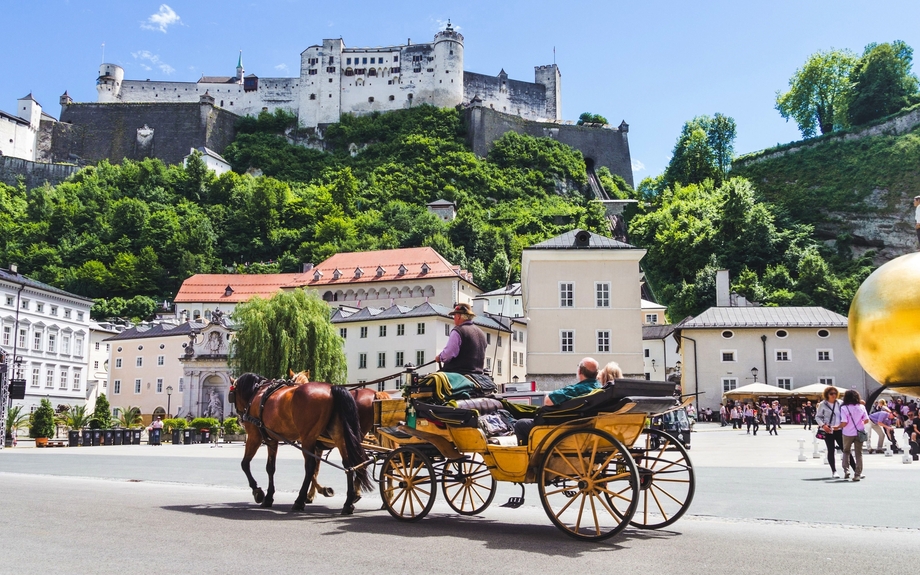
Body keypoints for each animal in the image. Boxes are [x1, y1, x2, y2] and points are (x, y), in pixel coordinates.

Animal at [232, 376, 372, 516]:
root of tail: (331, 388)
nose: (240, 419)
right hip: (339, 435)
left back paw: (299, 501)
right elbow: (270, 468)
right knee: (349, 465)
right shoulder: (272, 440)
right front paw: (268, 497)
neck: (257, 393)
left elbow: (245, 464)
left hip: (307, 438)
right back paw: (348, 503)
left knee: (310, 467)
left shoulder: (254, 436)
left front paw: (257, 492)